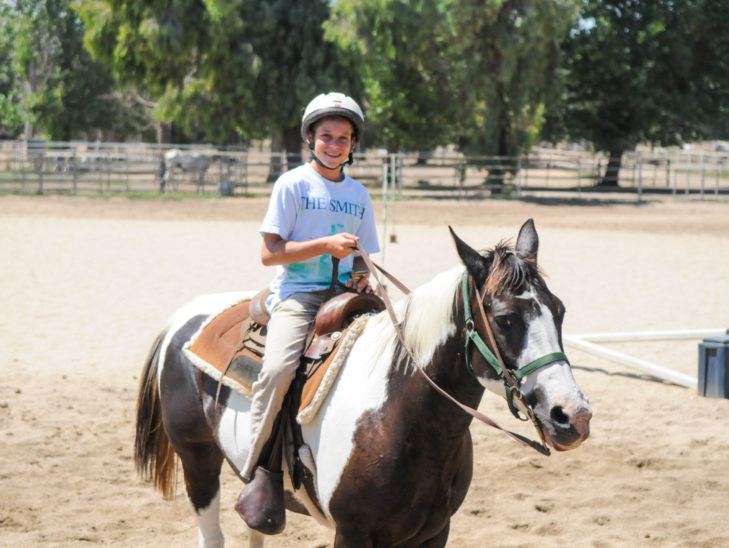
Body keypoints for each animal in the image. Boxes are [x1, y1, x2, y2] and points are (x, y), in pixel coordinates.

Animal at [135, 219, 592, 547]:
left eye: (561, 310)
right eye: (505, 319)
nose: (573, 416)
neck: (400, 417)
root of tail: (184, 318)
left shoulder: (434, 533)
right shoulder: (353, 533)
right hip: (197, 462)